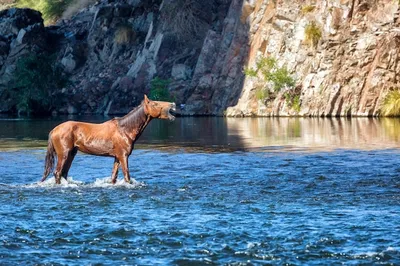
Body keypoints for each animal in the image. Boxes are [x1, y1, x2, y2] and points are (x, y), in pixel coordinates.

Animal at [41, 95, 177, 185]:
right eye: (155, 104)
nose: (173, 104)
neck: (125, 130)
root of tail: (54, 130)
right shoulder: (123, 156)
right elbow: (127, 175)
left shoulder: (117, 157)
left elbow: (113, 177)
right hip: (63, 153)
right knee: (57, 173)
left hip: (71, 153)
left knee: (64, 173)